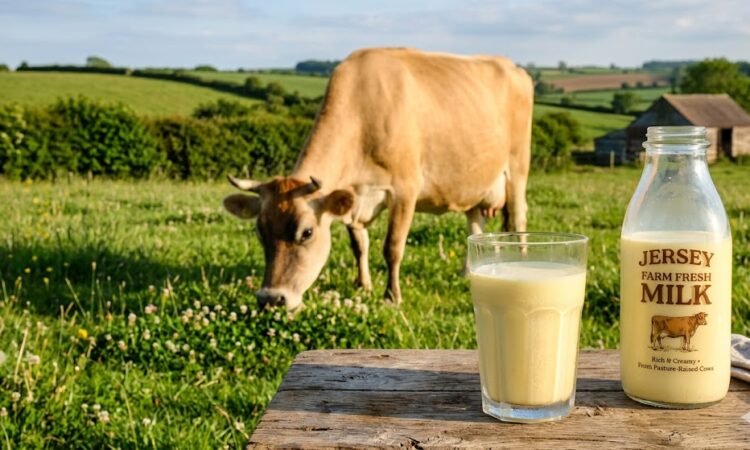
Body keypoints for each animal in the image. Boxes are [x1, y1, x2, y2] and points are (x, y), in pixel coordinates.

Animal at [223, 48, 533, 310]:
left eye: (307, 232)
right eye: (260, 231)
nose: (270, 299)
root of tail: (513, 66)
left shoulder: (405, 190)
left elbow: (392, 248)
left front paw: (392, 297)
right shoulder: (353, 197)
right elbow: (359, 246)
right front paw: (363, 285)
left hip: (517, 167)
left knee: (518, 217)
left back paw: (521, 261)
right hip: (474, 179)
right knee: (475, 223)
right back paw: (467, 272)